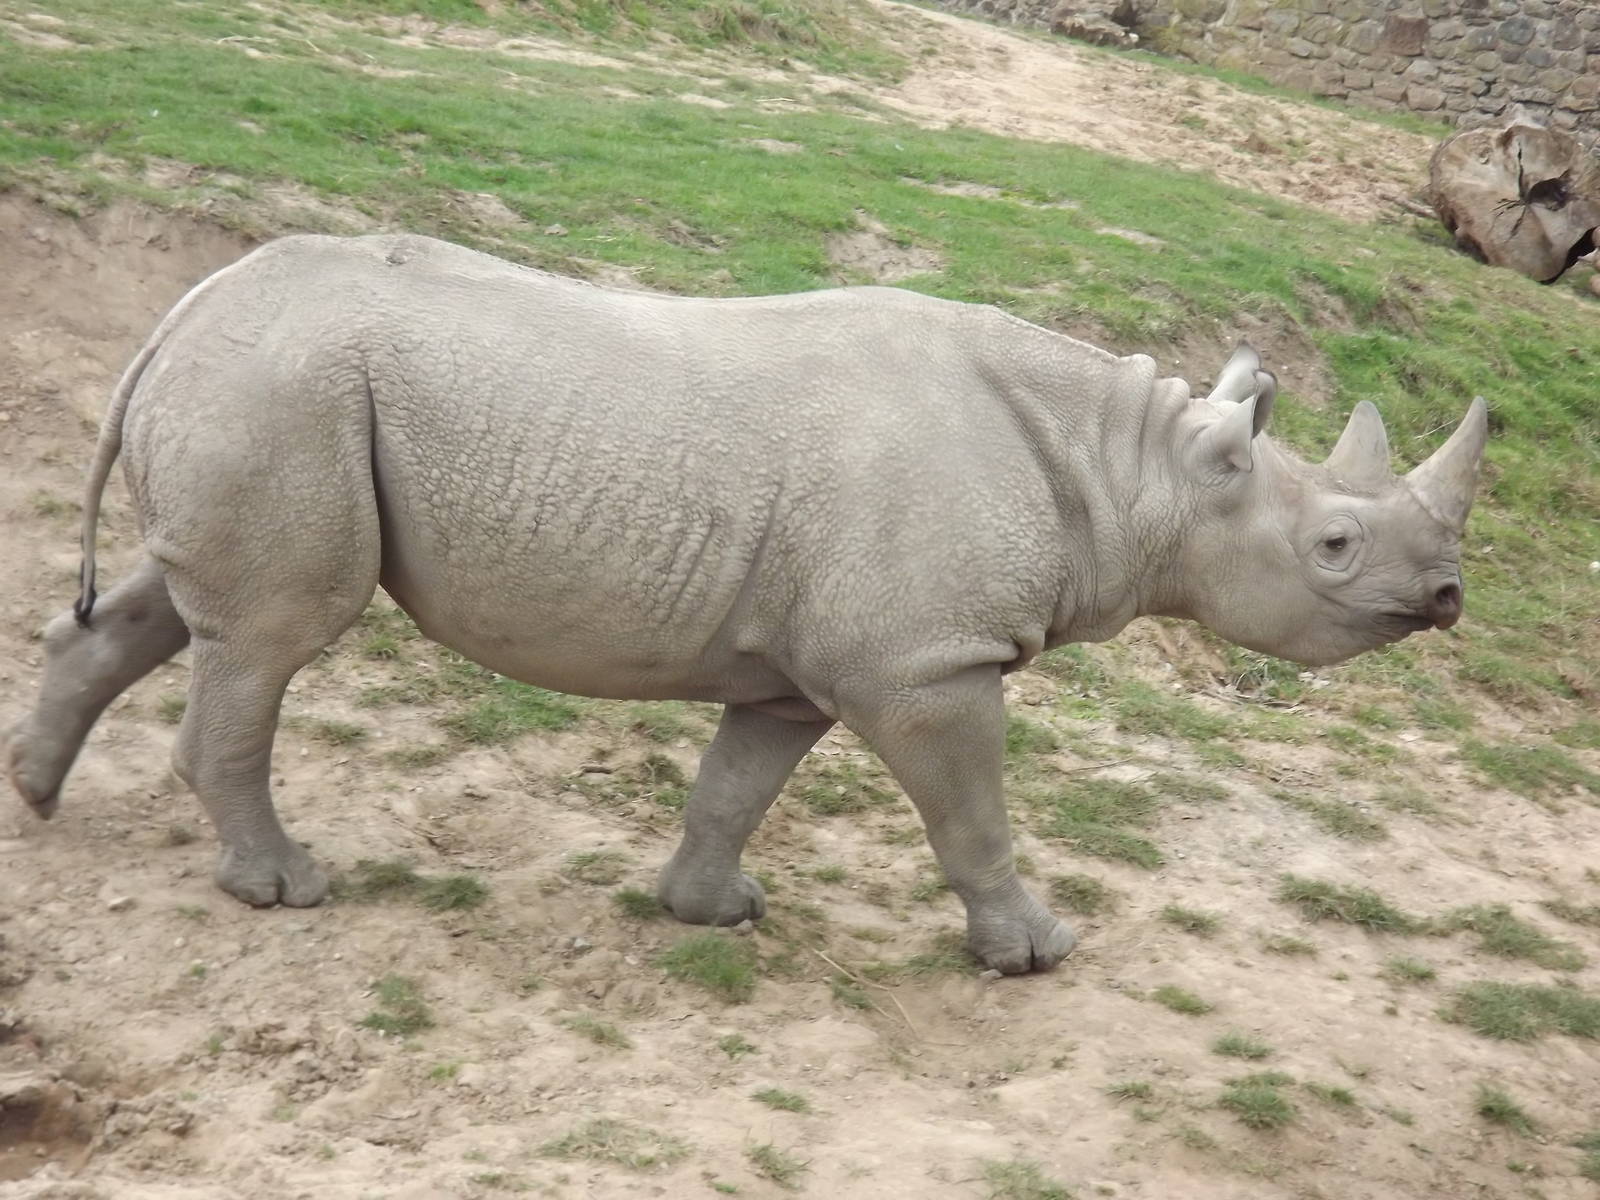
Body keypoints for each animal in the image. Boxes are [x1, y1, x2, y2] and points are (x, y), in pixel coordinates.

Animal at [5, 233, 1487, 974]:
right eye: (1336, 546)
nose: (1447, 595)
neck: (1138, 472)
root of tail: (182, 309)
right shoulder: (928, 665)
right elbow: (973, 814)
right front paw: (1034, 955)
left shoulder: (810, 667)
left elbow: (737, 781)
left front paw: (711, 914)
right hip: (292, 391)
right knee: (274, 634)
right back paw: (287, 892)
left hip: (270, 392)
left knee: (180, 606)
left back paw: (37, 797)